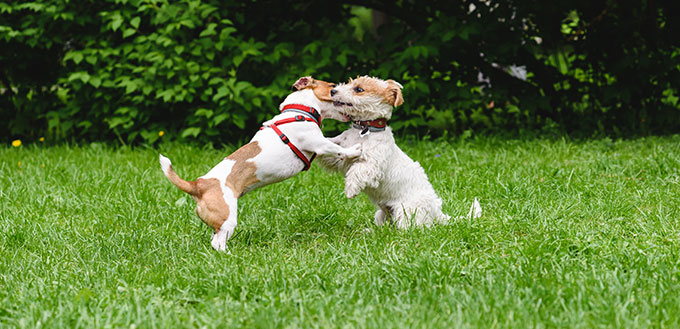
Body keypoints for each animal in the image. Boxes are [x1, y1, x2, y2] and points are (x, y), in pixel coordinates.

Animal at [158, 77, 362, 251]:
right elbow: (337, 148)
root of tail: (198, 185)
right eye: (332, 87)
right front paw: (355, 150)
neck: (299, 111)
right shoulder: (319, 143)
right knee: (218, 243)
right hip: (228, 218)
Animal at [318, 75, 480, 227]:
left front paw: (350, 190)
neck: (364, 130)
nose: (333, 91)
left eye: (359, 89)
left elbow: (358, 170)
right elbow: (331, 150)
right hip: (382, 213)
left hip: (407, 211)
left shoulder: (373, 164)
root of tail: (437, 212)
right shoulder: (340, 153)